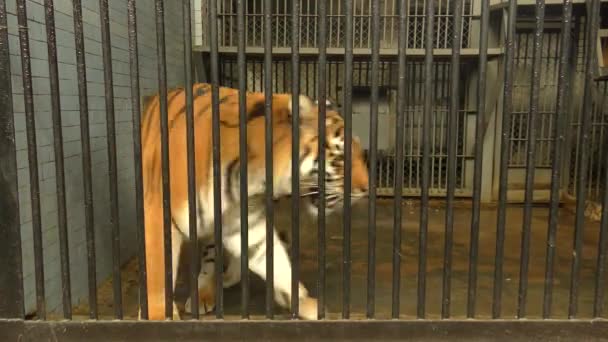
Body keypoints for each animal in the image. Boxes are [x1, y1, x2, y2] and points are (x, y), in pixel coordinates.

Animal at [142, 83, 368, 320]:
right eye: (341, 158)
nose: (367, 189)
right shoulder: (159, 213)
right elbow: (157, 274)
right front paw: (158, 316)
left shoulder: (242, 218)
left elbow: (273, 259)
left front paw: (305, 304)